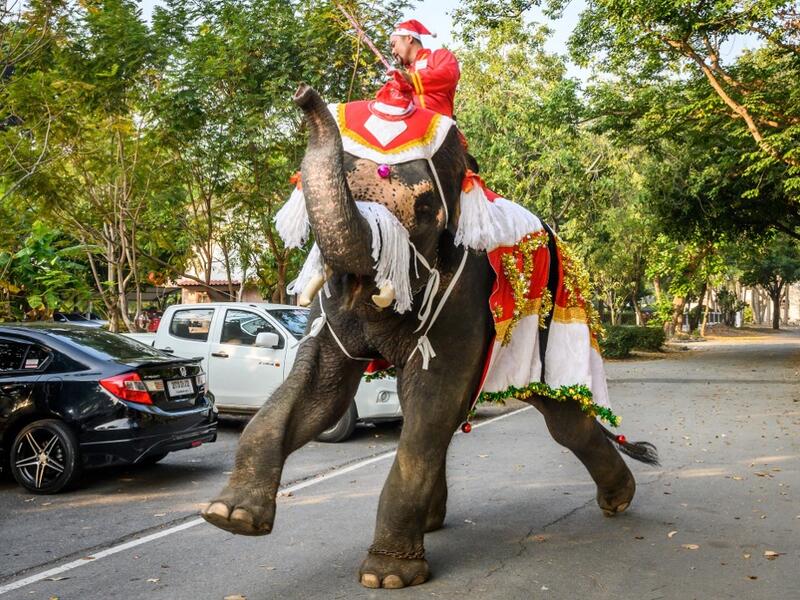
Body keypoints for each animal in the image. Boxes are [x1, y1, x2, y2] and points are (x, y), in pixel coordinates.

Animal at [202, 83, 658, 590]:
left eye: (423, 209)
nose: (304, 94)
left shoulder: (463, 293)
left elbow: (431, 394)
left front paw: (386, 577)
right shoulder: (333, 310)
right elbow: (323, 393)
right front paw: (231, 517)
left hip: (550, 329)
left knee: (563, 420)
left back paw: (619, 501)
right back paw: (434, 523)